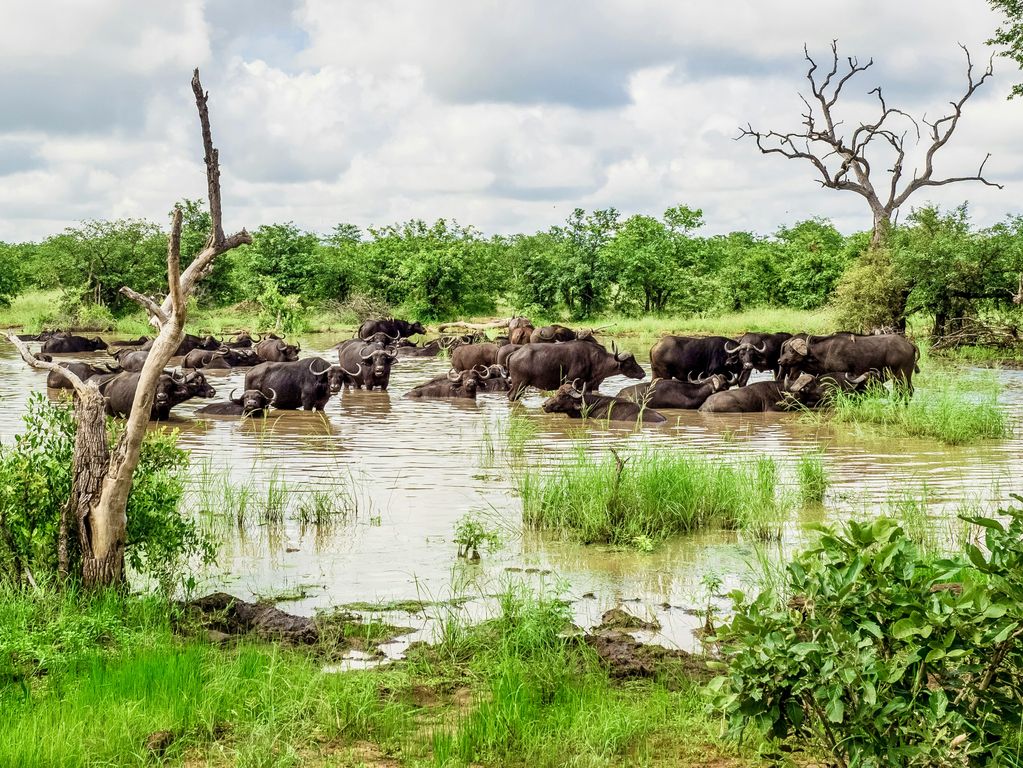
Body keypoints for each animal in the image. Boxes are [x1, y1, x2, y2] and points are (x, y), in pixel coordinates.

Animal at [507, 341, 642, 402]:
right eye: (629, 362)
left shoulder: (587, 386)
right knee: (512, 396)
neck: (594, 359)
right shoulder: (571, 381)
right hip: (520, 384)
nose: (643, 373)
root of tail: (515, 353)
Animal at [773, 335, 920, 396]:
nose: (779, 361)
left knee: (905, 391)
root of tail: (909, 344)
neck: (825, 353)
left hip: (902, 375)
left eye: (792, 351)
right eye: (787, 349)